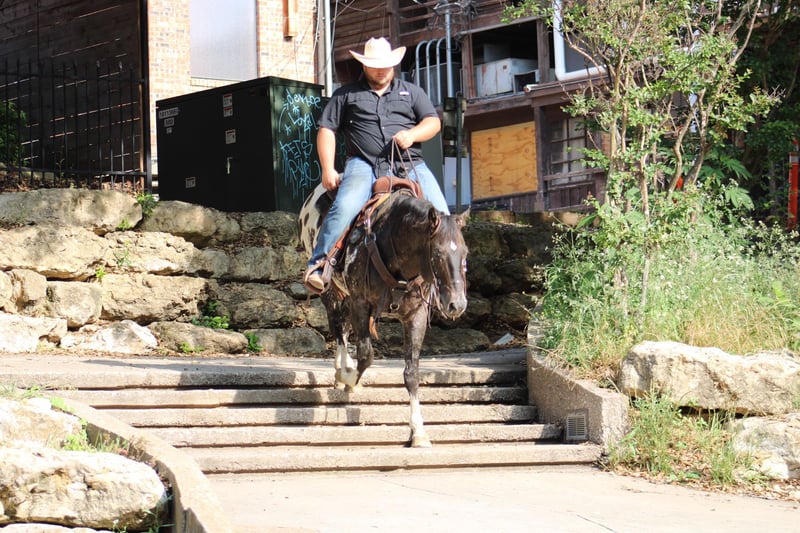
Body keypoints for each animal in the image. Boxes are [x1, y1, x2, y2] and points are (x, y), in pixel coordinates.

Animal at [298, 185, 468, 446]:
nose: (456, 305)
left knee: (343, 327)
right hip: (330, 291)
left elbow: (411, 373)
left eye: (465, 253)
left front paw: (418, 431)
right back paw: (342, 370)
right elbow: (366, 356)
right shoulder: (360, 303)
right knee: (337, 326)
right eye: (438, 253)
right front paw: (347, 378)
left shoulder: (416, 316)